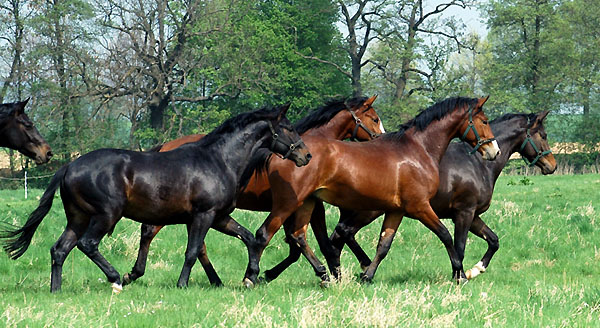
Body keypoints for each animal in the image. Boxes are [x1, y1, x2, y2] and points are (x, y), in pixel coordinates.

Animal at [3, 103, 314, 292]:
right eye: (288, 128)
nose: (306, 156)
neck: (218, 160)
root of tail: (69, 166)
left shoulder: (219, 217)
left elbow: (249, 238)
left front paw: (251, 276)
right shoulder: (203, 215)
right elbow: (192, 251)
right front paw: (182, 284)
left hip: (77, 217)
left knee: (60, 249)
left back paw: (56, 289)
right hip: (105, 215)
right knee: (87, 244)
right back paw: (116, 279)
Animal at [122, 96, 384, 286]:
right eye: (374, 118)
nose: (380, 139)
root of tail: (164, 146)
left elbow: (298, 245)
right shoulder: (304, 205)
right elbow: (312, 243)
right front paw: (330, 272)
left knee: (197, 246)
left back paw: (215, 280)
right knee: (153, 232)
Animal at [264, 111, 556, 284]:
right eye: (542, 135)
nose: (552, 165)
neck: (476, 164)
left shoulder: (472, 216)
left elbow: (493, 241)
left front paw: (475, 269)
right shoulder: (463, 213)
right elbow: (458, 245)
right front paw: (461, 274)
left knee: (334, 238)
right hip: (366, 211)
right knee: (338, 235)